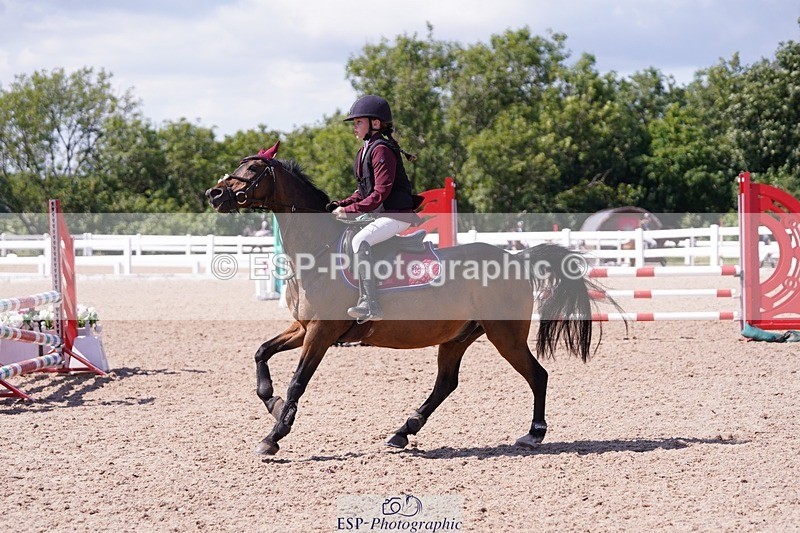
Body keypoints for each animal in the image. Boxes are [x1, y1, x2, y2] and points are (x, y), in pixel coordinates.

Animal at [206, 147, 606, 456]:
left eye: (252, 169)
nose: (214, 194)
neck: (317, 251)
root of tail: (517, 257)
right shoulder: (302, 328)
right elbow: (261, 353)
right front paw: (273, 406)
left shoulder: (320, 332)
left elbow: (297, 382)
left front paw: (274, 435)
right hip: (458, 336)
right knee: (446, 383)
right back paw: (403, 431)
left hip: (504, 335)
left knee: (537, 375)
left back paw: (534, 433)